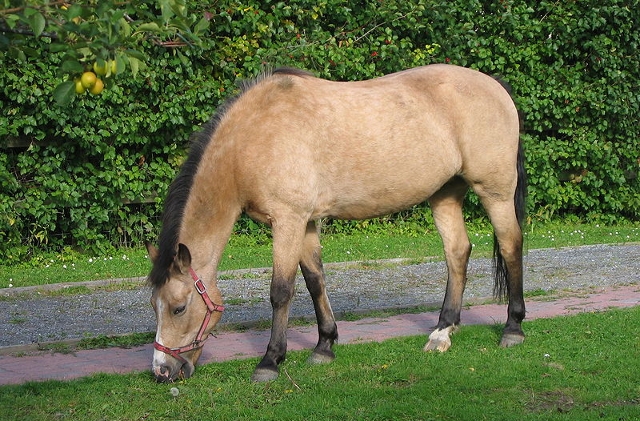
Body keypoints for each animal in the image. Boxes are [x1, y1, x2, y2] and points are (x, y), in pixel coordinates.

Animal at [148, 64, 528, 382]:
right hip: (445, 194)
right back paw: (442, 332)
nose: (162, 371)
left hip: (494, 191)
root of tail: (496, 86)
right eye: (154, 306)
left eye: (179, 308)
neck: (253, 137)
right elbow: (315, 281)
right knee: (457, 252)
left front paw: (271, 361)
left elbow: (281, 291)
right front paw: (324, 346)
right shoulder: (306, 223)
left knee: (511, 244)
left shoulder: (287, 220)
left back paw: (513, 329)